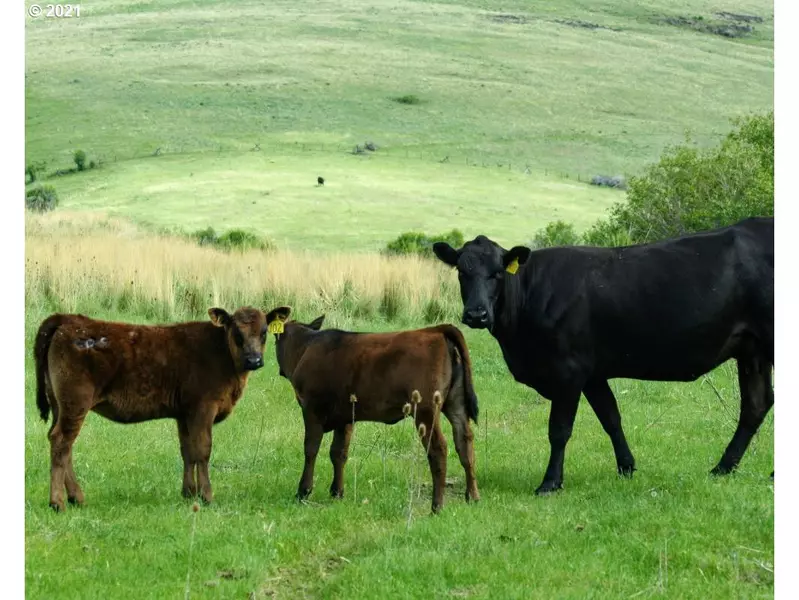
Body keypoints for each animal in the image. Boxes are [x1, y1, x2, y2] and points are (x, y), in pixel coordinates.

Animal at [33, 304, 294, 510]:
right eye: (237, 333)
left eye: (264, 332)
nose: (254, 360)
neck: (223, 356)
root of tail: (68, 319)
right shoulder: (203, 407)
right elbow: (203, 450)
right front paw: (206, 496)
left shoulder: (185, 413)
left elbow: (187, 450)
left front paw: (189, 493)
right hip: (75, 401)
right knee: (61, 442)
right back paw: (58, 502)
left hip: (59, 404)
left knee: (62, 443)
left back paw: (76, 497)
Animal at [272, 312, 482, 512]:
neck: (306, 347)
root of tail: (436, 329)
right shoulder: (345, 417)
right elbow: (338, 453)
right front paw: (337, 492)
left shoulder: (312, 410)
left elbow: (311, 450)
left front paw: (303, 491)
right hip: (456, 404)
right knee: (465, 444)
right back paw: (472, 496)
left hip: (426, 411)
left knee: (438, 449)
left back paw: (437, 506)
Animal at [434, 218, 772, 494]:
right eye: (462, 272)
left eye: (497, 274)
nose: (476, 314)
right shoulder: (593, 374)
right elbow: (611, 418)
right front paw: (627, 467)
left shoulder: (568, 371)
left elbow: (559, 430)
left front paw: (550, 482)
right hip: (752, 350)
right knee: (756, 405)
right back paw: (724, 468)